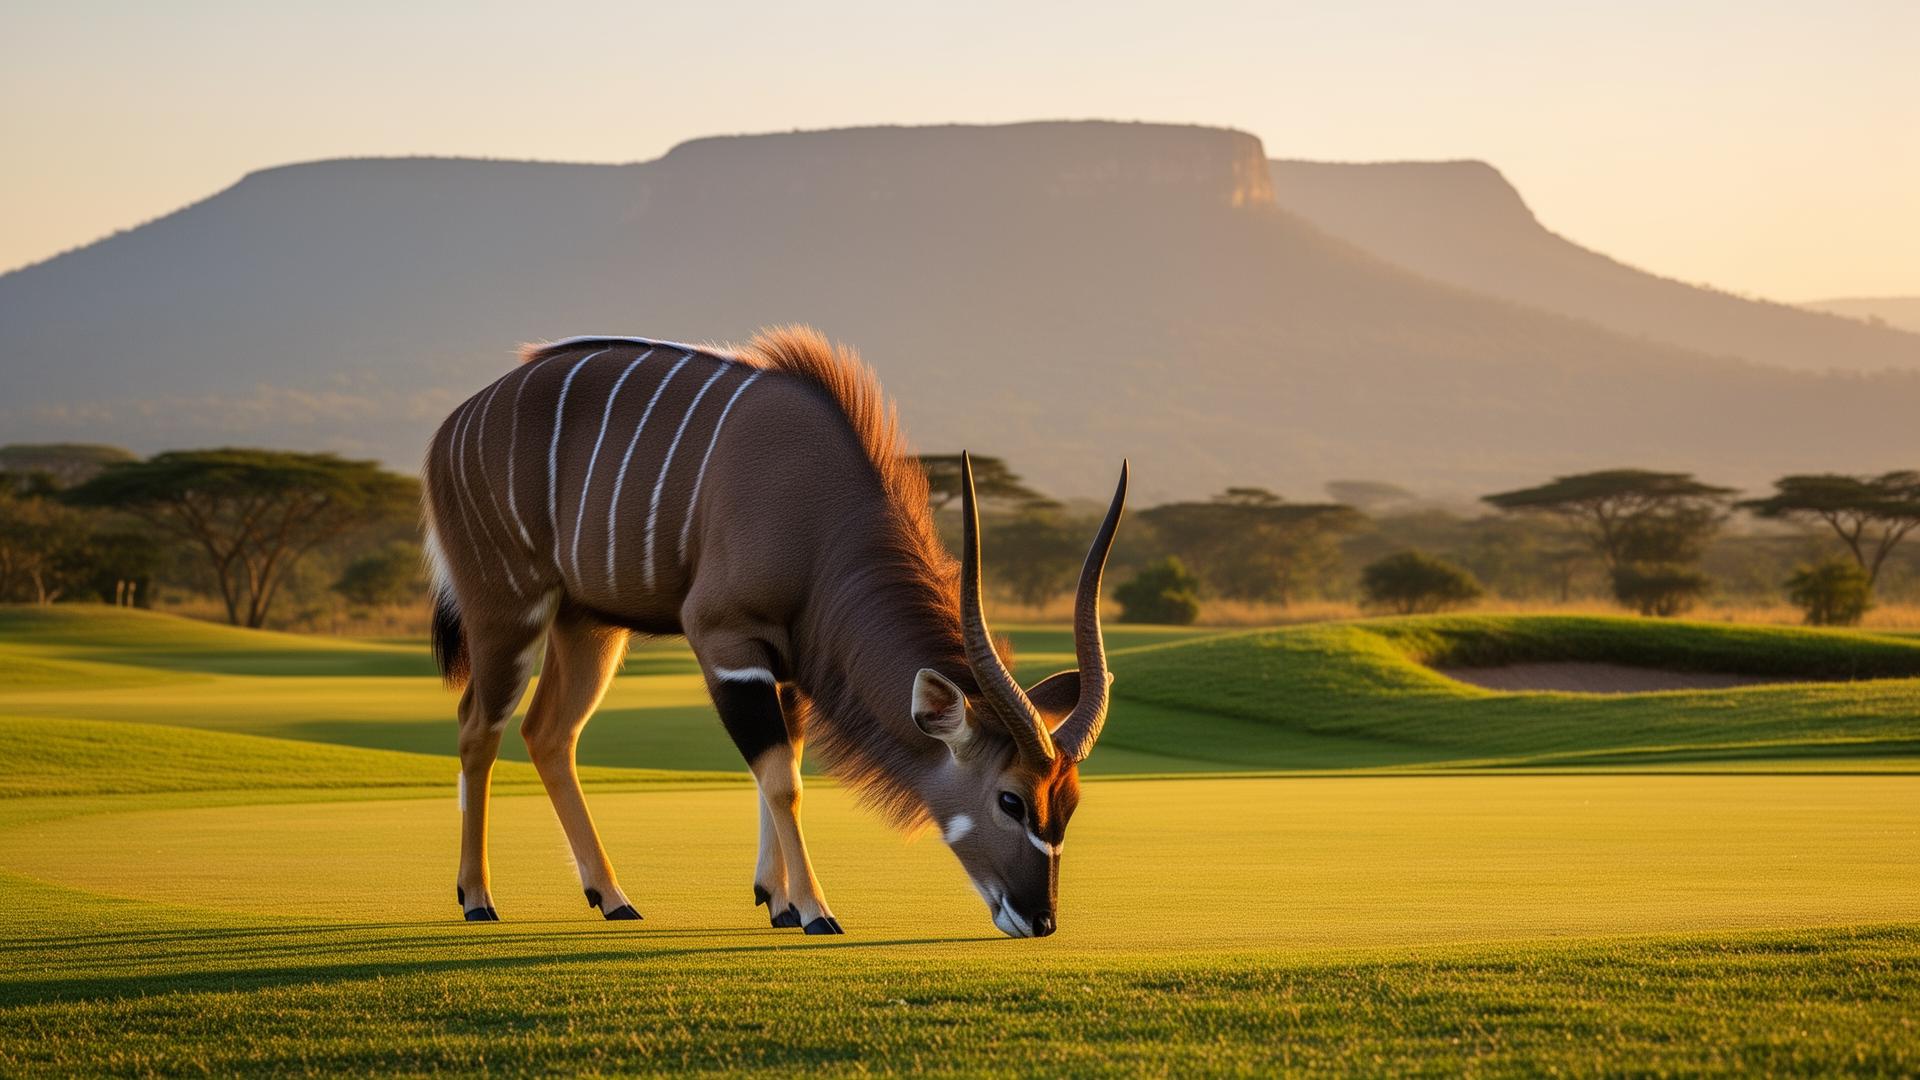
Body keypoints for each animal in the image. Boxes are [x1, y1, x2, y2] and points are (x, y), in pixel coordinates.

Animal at [422, 327, 1125, 937]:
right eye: (1010, 800)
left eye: (1070, 804)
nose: (1040, 920)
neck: (821, 522)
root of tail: (452, 426)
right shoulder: (727, 641)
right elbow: (782, 780)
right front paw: (815, 911)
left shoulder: (786, 669)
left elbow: (782, 768)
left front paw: (778, 902)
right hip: (507, 610)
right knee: (478, 728)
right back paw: (478, 899)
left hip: (588, 625)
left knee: (548, 733)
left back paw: (612, 896)